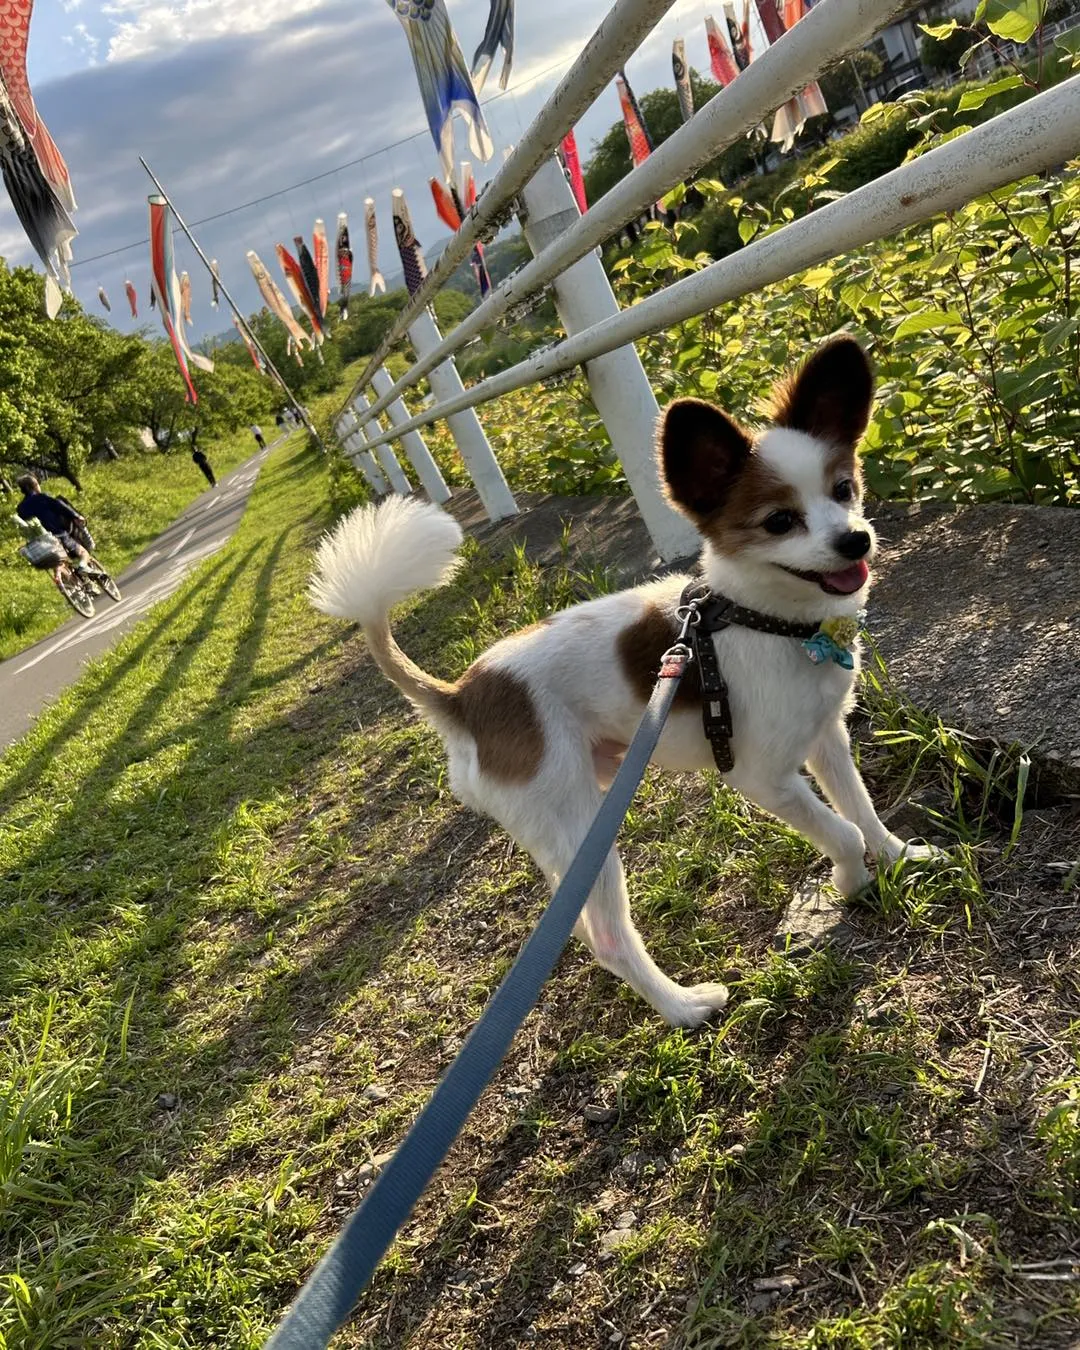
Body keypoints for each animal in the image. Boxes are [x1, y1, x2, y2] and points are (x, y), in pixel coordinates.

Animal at [310, 337, 934, 1020]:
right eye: (779, 522)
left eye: (844, 489)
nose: (855, 540)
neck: (764, 621)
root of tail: (464, 698)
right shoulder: (761, 776)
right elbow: (840, 830)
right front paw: (852, 880)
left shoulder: (825, 739)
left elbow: (861, 807)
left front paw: (900, 856)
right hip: (577, 821)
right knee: (607, 936)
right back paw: (684, 1007)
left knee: (582, 927)